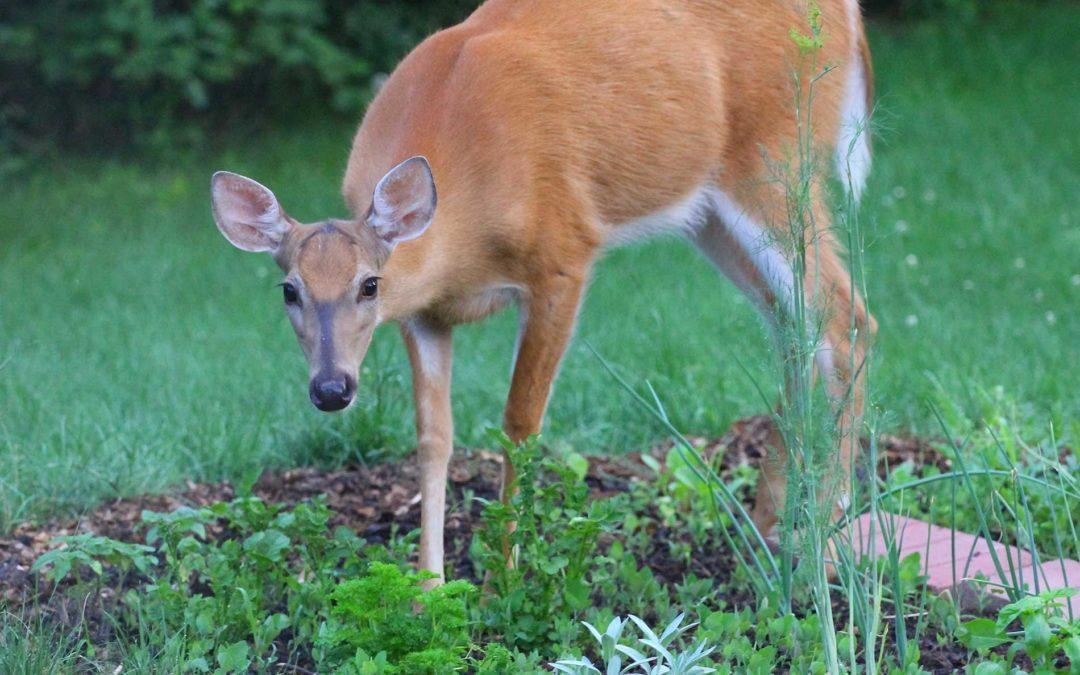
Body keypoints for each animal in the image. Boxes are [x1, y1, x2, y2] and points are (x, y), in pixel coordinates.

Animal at [210, 0, 876, 585]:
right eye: (288, 291)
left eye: (369, 284)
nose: (331, 389)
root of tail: (847, 15)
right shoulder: (423, 314)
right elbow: (433, 438)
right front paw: (427, 589)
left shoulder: (563, 258)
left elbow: (520, 424)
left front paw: (503, 579)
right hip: (709, 213)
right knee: (793, 327)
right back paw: (770, 527)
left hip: (776, 155)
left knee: (845, 318)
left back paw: (830, 538)